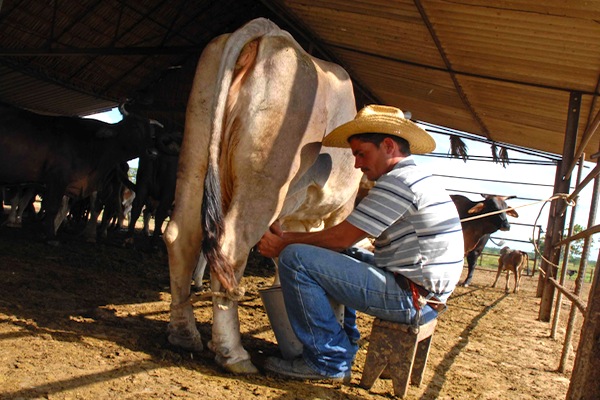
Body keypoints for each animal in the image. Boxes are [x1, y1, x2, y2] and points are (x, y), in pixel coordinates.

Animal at [0, 102, 159, 244]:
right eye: (136, 127)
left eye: (151, 133)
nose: (153, 152)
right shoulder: (56, 179)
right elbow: (51, 207)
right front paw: (50, 236)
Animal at [162, 18, 364, 376]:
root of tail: (269, 31)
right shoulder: (340, 211)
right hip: (265, 180)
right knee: (229, 248)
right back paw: (233, 354)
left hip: (195, 154)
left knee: (181, 236)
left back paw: (184, 334)